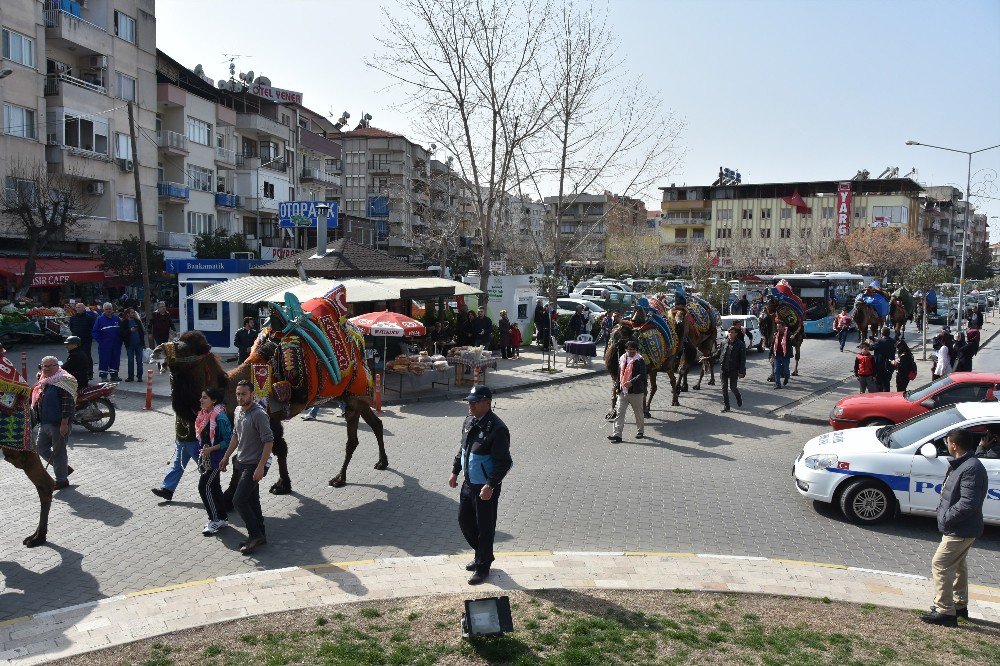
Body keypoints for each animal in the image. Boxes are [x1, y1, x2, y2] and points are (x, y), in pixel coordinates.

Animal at [152, 286, 386, 492]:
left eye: (184, 347)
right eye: (176, 339)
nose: (156, 351)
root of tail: (358, 338)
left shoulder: (270, 415)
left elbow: (273, 449)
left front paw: (270, 486)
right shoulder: (273, 416)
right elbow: (278, 449)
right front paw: (282, 484)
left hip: (354, 392)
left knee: (353, 438)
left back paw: (340, 477)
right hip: (353, 395)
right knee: (376, 424)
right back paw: (382, 462)